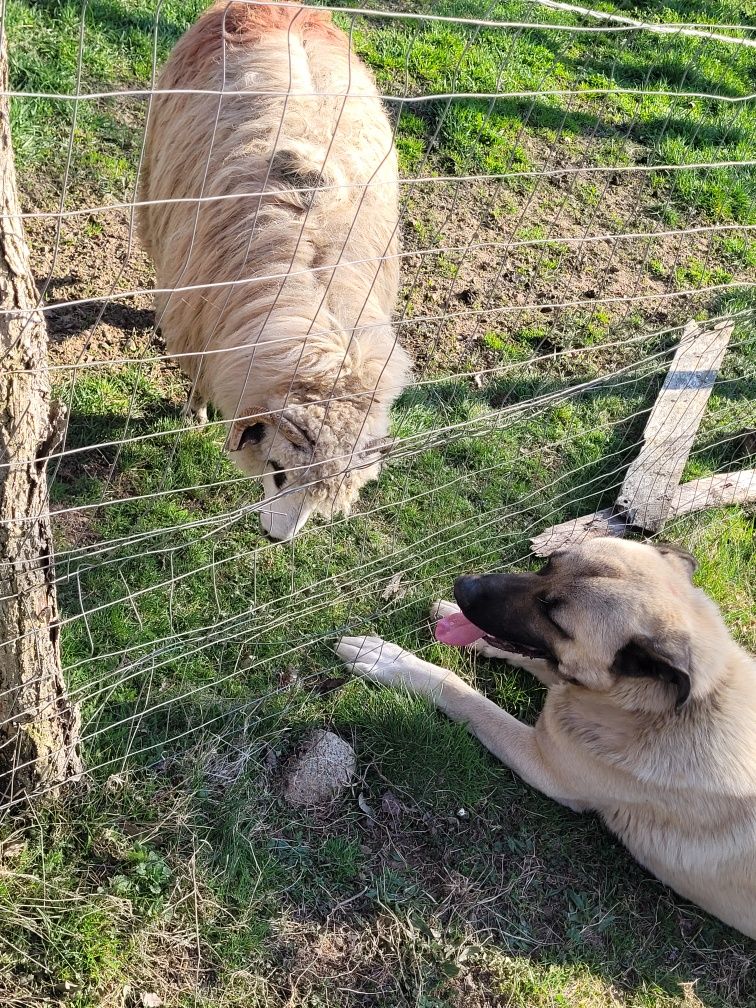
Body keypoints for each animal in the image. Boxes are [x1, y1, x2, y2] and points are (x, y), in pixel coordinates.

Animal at [139, 1, 411, 544]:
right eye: (278, 470)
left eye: (325, 500)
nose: (276, 539)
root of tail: (277, 6)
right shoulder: (202, 328)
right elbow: (198, 381)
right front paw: (194, 413)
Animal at [338, 540, 756, 939]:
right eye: (549, 564)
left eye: (553, 617)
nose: (462, 586)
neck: (647, 709)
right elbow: (531, 660)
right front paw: (454, 620)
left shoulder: (541, 759)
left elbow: (462, 692)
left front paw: (391, 660)